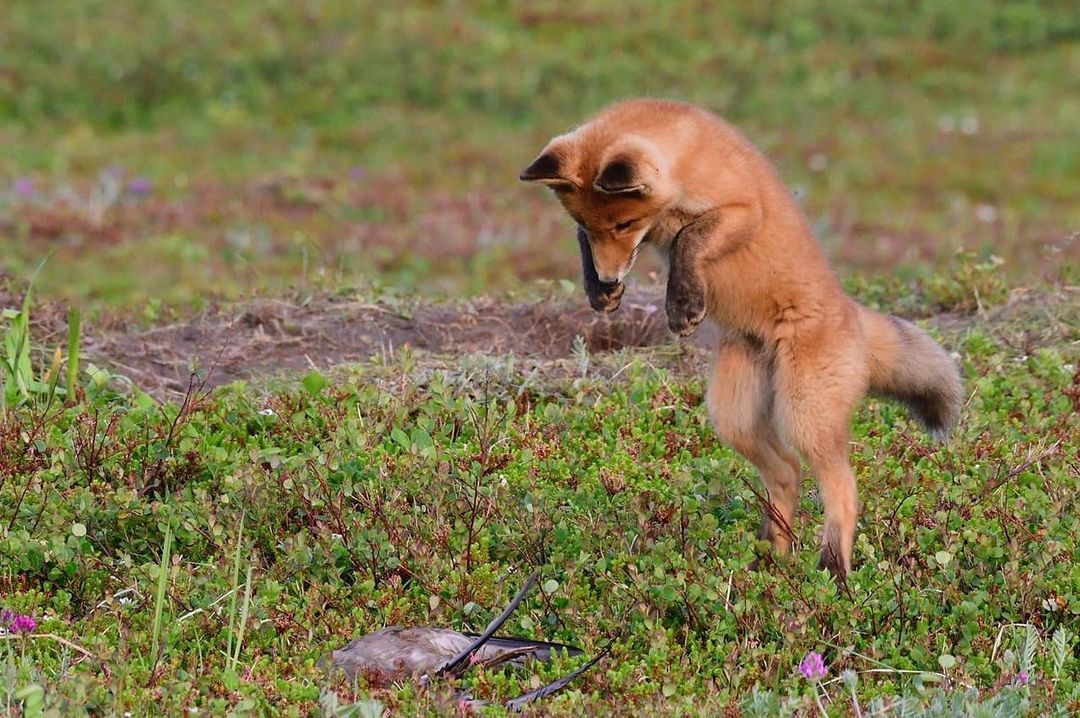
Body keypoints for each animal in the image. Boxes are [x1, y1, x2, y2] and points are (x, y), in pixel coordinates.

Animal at [520, 100, 963, 578]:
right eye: (586, 222)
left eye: (625, 223)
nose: (608, 278)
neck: (688, 153)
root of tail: (850, 311)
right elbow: (600, 244)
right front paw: (598, 291)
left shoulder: (744, 210)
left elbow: (689, 238)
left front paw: (682, 304)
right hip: (733, 418)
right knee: (787, 471)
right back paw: (772, 560)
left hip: (803, 415)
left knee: (843, 487)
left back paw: (832, 571)